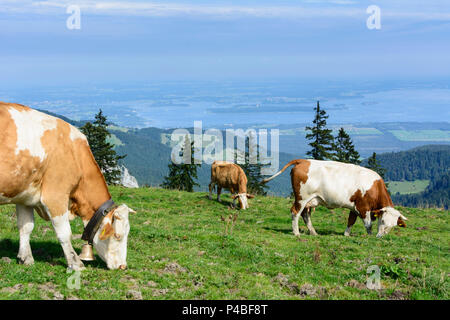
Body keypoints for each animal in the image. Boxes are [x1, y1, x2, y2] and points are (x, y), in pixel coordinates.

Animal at [0, 103, 134, 270]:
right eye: (118, 235)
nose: (123, 266)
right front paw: (75, 263)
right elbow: (64, 232)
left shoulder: (25, 196)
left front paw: (26, 258)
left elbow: (26, 226)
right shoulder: (55, 196)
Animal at [264, 160, 408, 238]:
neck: (375, 186)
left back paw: (314, 233)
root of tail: (303, 160)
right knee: (295, 212)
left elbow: (351, 221)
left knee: (305, 215)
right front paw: (370, 235)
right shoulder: (363, 207)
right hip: (301, 198)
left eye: (393, 226)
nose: (380, 236)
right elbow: (368, 224)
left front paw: (346, 234)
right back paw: (296, 233)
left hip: (309, 200)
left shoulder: (354, 207)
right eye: (382, 220)